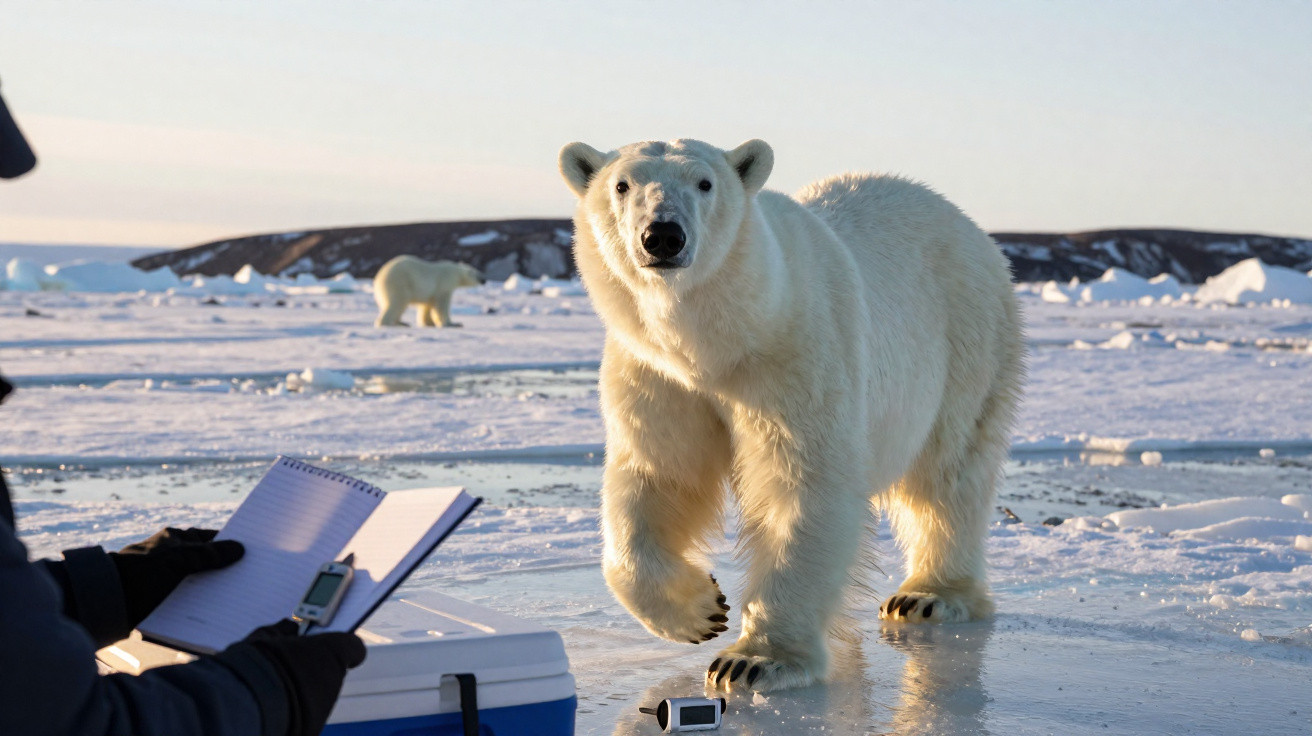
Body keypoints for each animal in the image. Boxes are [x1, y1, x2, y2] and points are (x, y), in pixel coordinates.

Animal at [558, 138, 1025, 693]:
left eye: (705, 183)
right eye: (622, 184)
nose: (664, 236)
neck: (720, 342)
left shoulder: (795, 354)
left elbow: (801, 483)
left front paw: (754, 660)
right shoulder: (657, 374)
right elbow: (659, 475)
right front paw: (699, 612)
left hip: (968, 337)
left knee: (949, 470)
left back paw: (929, 595)